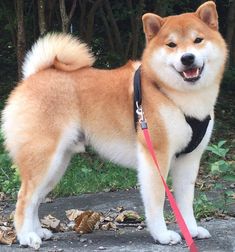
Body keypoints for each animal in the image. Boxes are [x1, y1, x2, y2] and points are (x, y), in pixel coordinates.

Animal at [0, 1, 227, 250]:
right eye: (171, 45)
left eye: (198, 40)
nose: (187, 58)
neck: (173, 95)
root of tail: (32, 77)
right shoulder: (155, 157)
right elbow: (157, 201)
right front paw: (162, 235)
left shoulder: (189, 159)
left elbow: (186, 202)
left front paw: (192, 231)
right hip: (44, 159)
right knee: (24, 199)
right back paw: (26, 237)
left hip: (57, 164)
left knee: (35, 199)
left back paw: (38, 232)